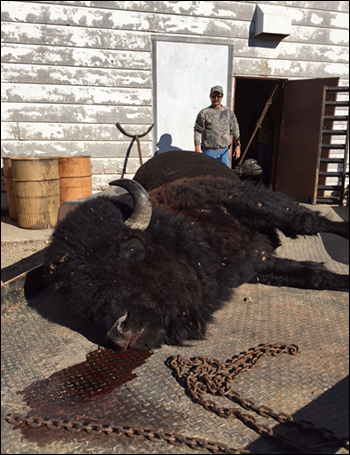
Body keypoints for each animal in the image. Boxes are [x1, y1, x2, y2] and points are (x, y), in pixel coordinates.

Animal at [42, 151, 348, 350]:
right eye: (80, 299)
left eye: (131, 247)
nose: (121, 331)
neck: (187, 224)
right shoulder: (257, 265)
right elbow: (312, 274)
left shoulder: (249, 202)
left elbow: (307, 221)